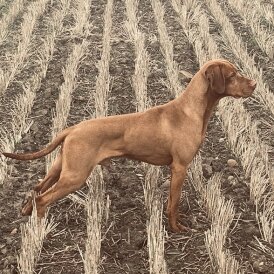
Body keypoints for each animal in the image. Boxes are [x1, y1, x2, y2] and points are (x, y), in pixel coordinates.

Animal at [2, 59, 256, 231]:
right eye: (232, 75)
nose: (254, 84)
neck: (192, 109)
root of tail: (72, 129)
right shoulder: (180, 167)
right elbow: (173, 203)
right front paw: (176, 228)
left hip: (60, 168)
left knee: (37, 189)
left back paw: (27, 214)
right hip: (75, 176)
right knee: (43, 198)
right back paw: (40, 228)